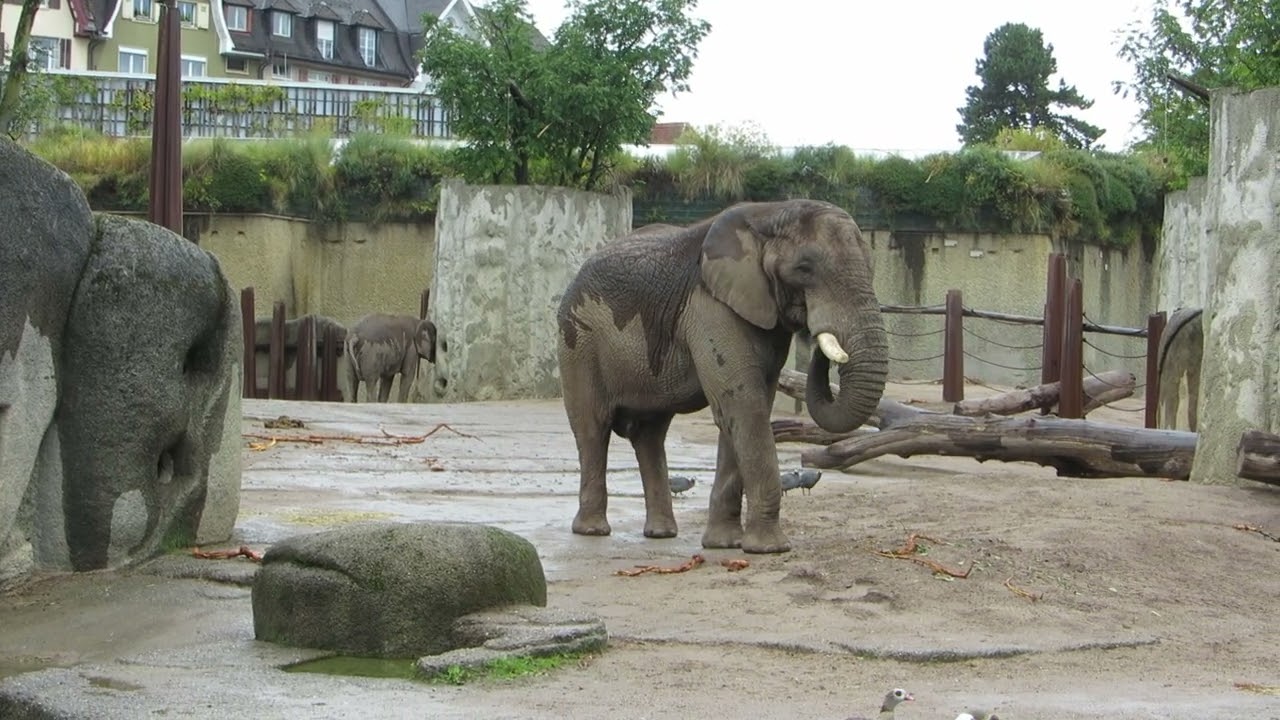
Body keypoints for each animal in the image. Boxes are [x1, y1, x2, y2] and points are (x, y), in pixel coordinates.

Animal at [556, 199, 888, 554]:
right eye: (804, 268)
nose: (818, 339)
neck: (770, 212)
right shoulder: (709, 306)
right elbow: (744, 405)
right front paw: (769, 549)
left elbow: (747, 409)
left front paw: (725, 545)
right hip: (577, 341)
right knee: (592, 427)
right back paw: (593, 531)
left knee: (649, 434)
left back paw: (661, 534)